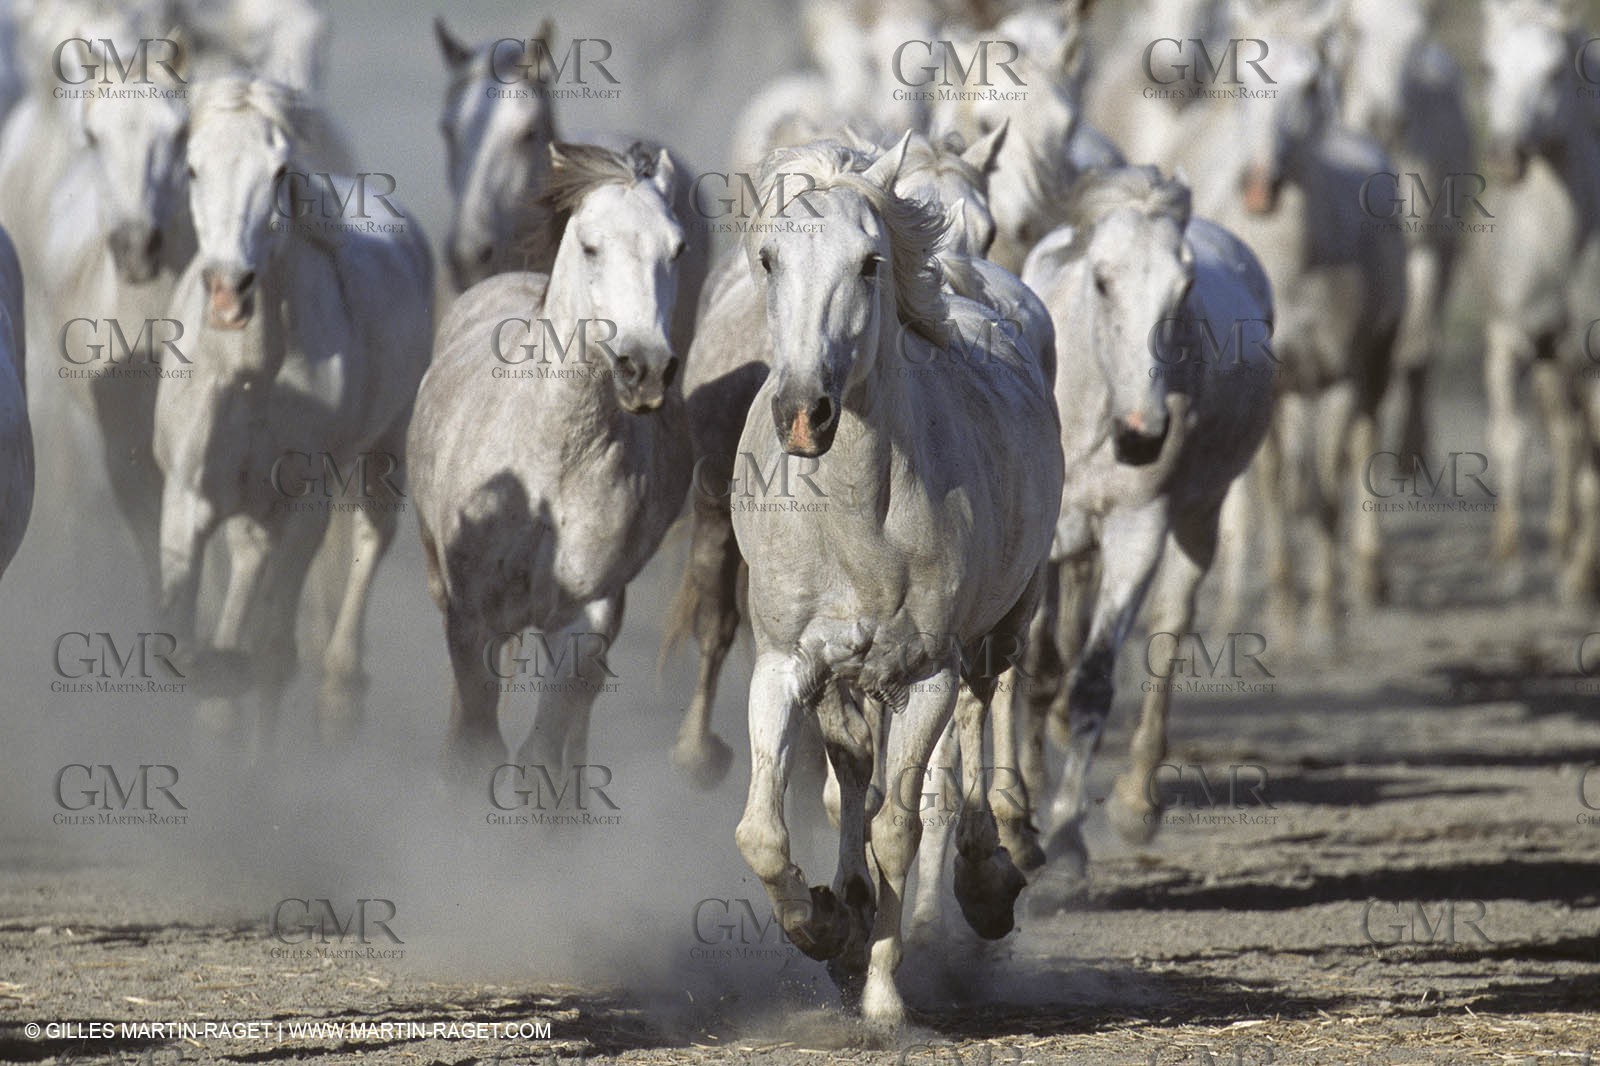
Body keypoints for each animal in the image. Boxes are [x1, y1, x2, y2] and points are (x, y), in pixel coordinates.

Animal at [155, 78, 433, 747]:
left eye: (279, 170)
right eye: (193, 168)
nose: (229, 291)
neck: (249, 377)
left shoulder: (307, 500)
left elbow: (273, 653)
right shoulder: (188, 494)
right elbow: (189, 645)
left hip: (386, 444)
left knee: (372, 534)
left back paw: (340, 692)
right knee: (250, 557)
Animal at [409, 142, 694, 780]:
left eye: (678, 247)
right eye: (590, 245)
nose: (645, 369)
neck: (550, 464)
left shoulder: (585, 618)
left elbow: (542, 751)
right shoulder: (472, 617)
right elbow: (477, 742)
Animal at [729, 136, 1062, 1027]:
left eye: (869, 261)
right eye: (769, 258)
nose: (804, 411)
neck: (854, 521)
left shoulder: (924, 674)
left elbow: (900, 830)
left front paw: (881, 996)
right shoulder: (784, 664)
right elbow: (766, 832)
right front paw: (821, 926)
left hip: (1000, 626)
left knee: (981, 719)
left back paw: (986, 878)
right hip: (845, 678)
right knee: (850, 778)